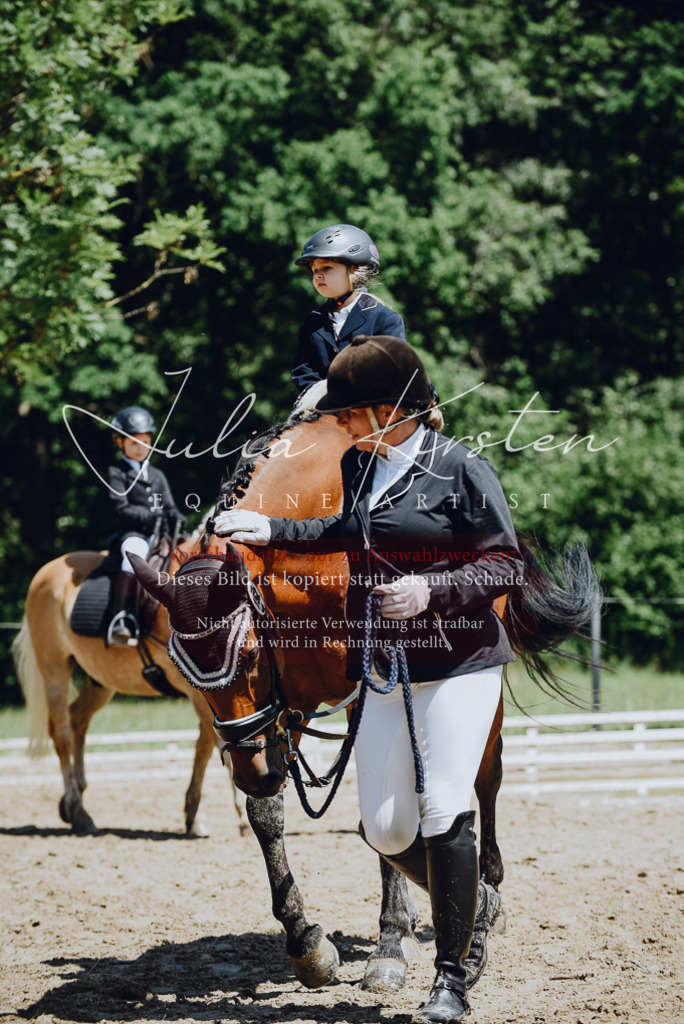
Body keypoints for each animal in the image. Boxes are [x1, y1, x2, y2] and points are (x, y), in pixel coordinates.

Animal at [12, 543, 246, 837]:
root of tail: (46, 570)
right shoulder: (200, 691)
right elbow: (221, 740)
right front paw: (243, 815)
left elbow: (206, 745)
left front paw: (193, 816)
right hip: (54, 666)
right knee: (62, 733)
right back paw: (78, 811)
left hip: (102, 679)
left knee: (78, 720)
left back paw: (76, 805)